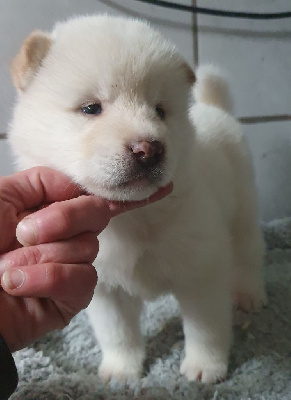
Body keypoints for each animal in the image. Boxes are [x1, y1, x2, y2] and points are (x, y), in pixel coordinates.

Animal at [8, 14, 268, 384]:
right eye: (91, 108)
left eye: (160, 111)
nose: (149, 149)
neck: (130, 218)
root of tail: (213, 108)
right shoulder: (104, 288)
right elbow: (118, 333)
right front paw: (121, 371)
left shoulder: (202, 268)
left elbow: (206, 327)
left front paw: (205, 368)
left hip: (243, 206)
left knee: (248, 254)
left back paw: (249, 294)